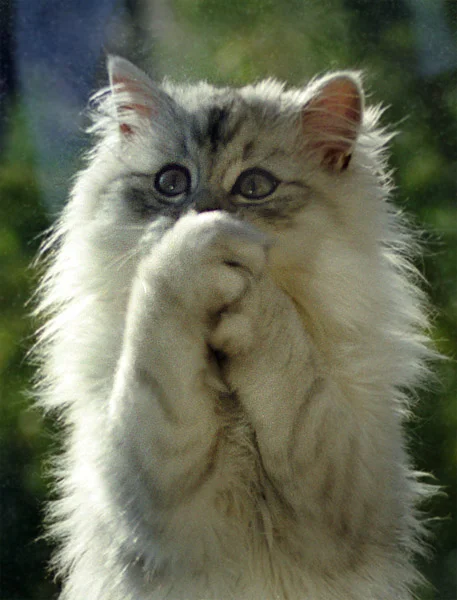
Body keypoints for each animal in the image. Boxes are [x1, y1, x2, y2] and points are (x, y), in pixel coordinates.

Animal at [34, 56, 434, 600]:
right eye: (171, 182)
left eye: (255, 186)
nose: (204, 210)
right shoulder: (151, 489)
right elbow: (159, 313)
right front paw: (195, 249)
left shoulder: (342, 492)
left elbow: (290, 365)